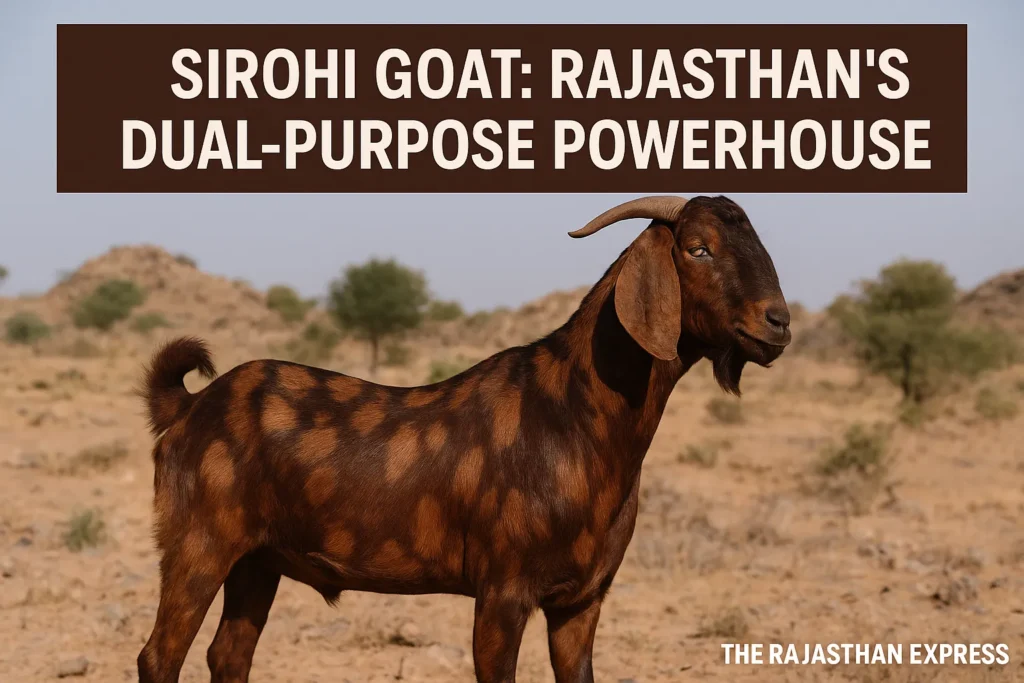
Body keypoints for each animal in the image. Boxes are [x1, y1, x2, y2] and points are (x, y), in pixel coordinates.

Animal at [137, 195, 791, 683]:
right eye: (698, 248)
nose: (778, 322)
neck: (574, 417)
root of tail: (190, 405)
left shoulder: (582, 601)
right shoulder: (503, 592)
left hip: (257, 561)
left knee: (229, 655)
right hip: (200, 544)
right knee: (160, 656)